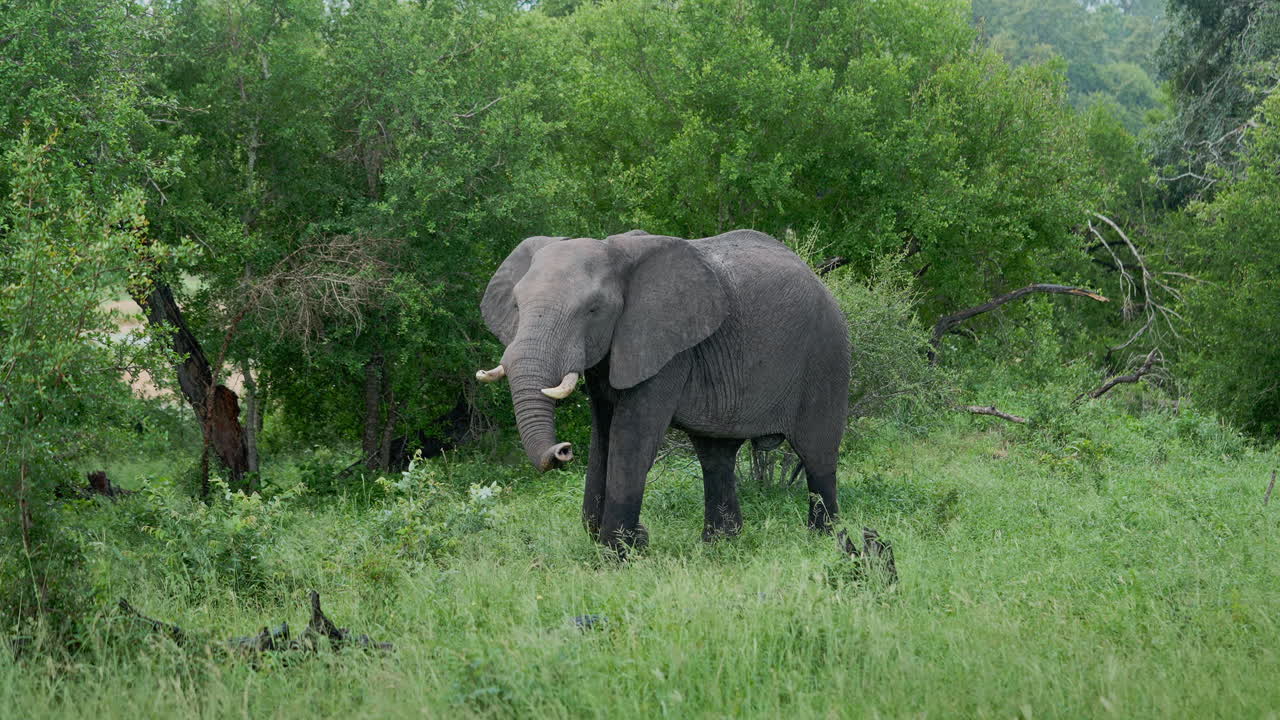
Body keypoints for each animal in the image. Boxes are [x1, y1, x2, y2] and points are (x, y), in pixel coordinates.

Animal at [478, 229, 850, 553]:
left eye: (593, 310)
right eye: (516, 306)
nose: (563, 450)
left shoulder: (664, 347)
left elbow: (632, 438)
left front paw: (620, 553)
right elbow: (603, 435)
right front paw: (622, 541)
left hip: (826, 355)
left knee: (817, 454)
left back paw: (825, 540)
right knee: (716, 456)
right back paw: (719, 546)